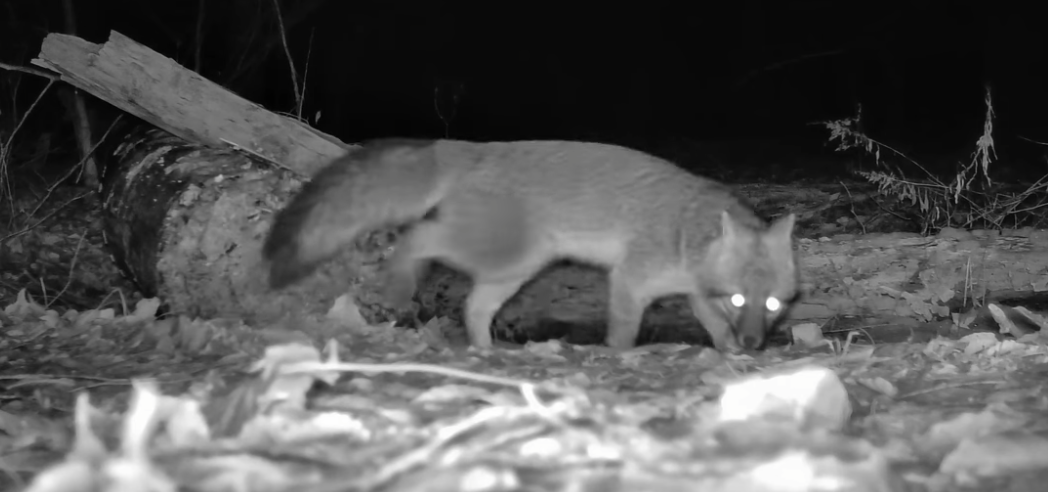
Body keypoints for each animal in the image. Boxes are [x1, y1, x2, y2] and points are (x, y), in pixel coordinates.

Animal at [262, 139, 799, 352]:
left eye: (771, 304)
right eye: (739, 298)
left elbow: (713, 329)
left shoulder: (695, 294)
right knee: (416, 238)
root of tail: (469, 147)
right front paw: (620, 355)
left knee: (474, 307)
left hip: (514, 268)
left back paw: (486, 350)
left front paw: (730, 351)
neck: (686, 227)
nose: (756, 344)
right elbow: (623, 331)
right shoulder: (630, 280)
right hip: (503, 255)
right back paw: (399, 286)